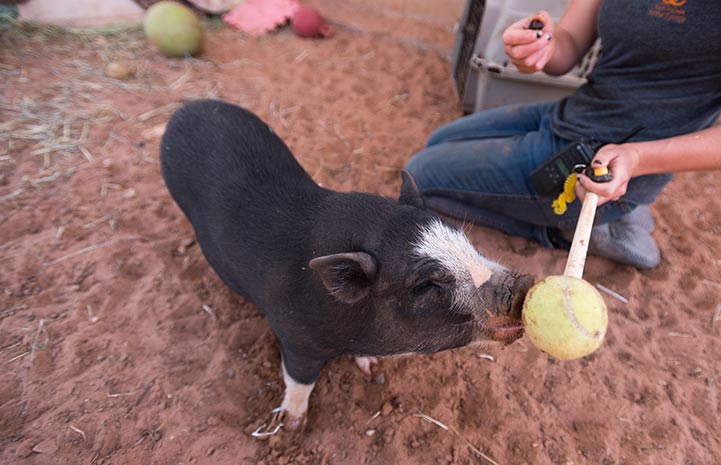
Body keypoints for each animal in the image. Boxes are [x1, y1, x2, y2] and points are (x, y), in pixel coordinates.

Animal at [163, 99, 536, 432]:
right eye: (425, 285)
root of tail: (187, 107)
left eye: (465, 241)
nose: (521, 284)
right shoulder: (294, 338)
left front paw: (369, 368)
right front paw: (293, 428)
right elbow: (299, 381)